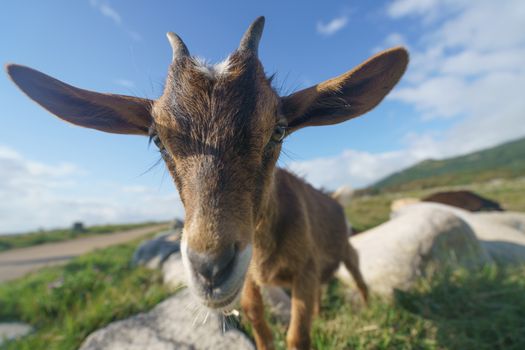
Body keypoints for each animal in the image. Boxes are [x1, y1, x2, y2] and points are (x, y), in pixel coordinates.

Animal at [6, 16, 408, 350]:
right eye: (157, 138)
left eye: (278, 131)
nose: (211, 269)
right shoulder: (252, 280)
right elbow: (260, 325)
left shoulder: (303, 270)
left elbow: (297, 335)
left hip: (344, 251)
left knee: (357, 275)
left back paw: (367, 307)